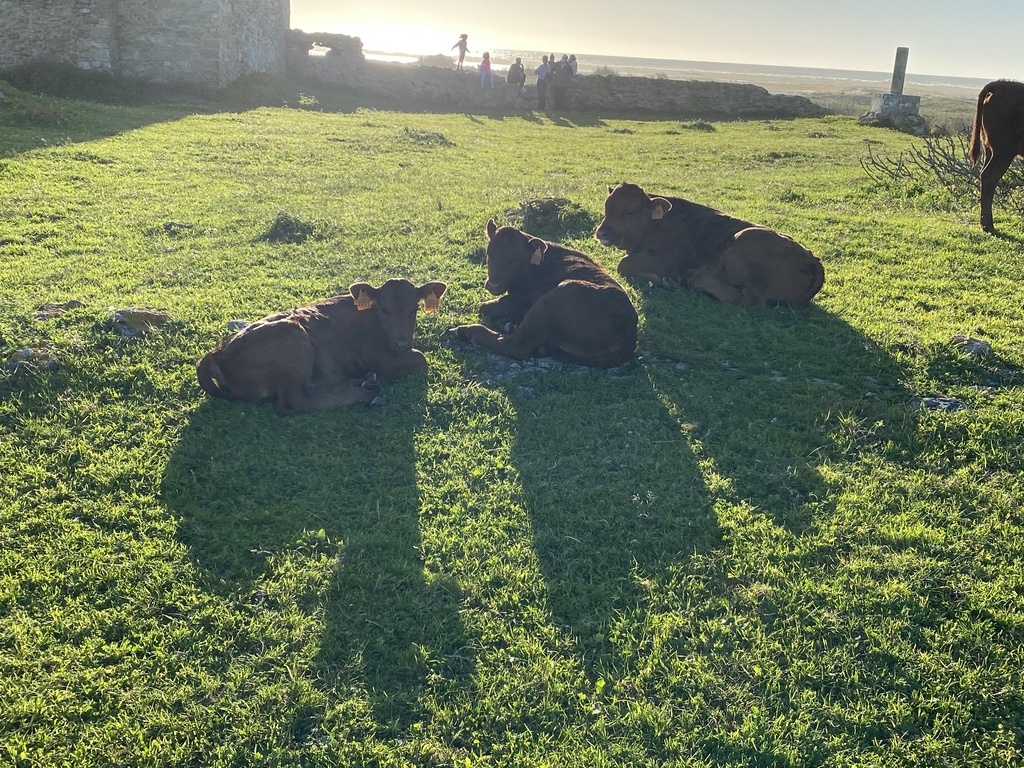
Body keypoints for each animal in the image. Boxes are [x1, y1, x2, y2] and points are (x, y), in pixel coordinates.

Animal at [195, 278, 444, 415]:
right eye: (384, 309)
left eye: (414, 309)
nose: (402, 343)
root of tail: (217, 353)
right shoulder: (383, 360)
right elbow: (421, 358)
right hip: (295, 340)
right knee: (293, 402)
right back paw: (364, 393)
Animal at [450, 219, 634, 370]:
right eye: (489, 253)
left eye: (516, 259)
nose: (493, 285)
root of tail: (627, 337)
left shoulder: (516, 300)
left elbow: (485, 307)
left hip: (556, 296)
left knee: (513, 345)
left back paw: (464, 330)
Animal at [593, 182, 823, 309]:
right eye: (607, 207)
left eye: (630, 212)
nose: (602, 233)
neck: (656, 223)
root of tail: (811, 258)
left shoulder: (663, 259)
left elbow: (623, 264)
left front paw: (668, 281)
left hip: (741, 241)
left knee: (749, 299)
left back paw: (695, 280)